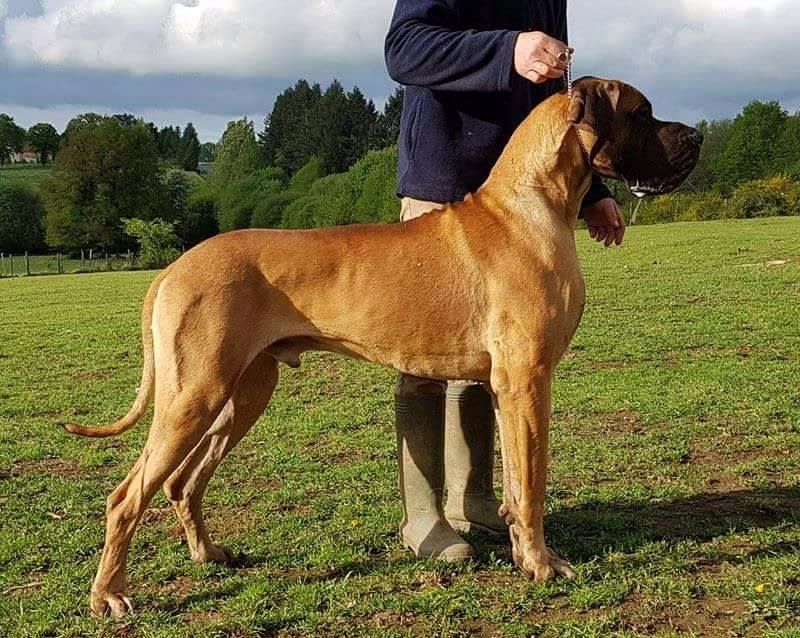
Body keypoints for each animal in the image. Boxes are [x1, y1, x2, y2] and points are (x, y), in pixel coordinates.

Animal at [66, 77, 702, 616]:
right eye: (642, 111)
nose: (695, 136)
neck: (532, 203)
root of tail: (171, 269)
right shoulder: (528, 379)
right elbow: (534, 482)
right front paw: (543, 565)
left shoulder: (509, 387)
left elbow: (517, 483)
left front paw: (524, 553)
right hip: (193, 395)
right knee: (126, 496)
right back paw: (109, 594)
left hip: (245, 391)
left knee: (182, 481)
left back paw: (208, 554)